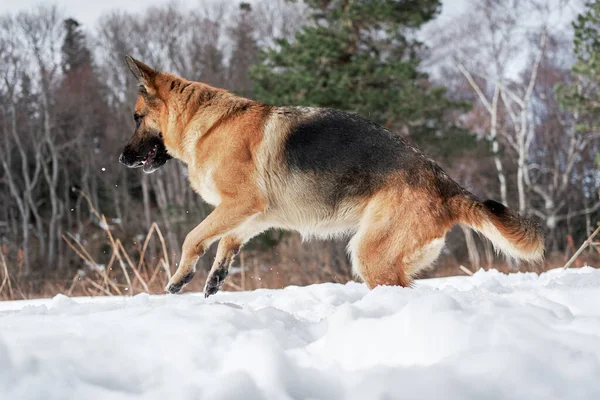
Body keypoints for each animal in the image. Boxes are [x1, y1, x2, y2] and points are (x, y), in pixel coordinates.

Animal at [120, 56, 544, 296]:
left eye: (137, 117)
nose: (122, 159)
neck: (205, 124)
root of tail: (446, 184)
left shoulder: (241, 204)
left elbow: (193, 237)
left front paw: (179, 278)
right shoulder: (256, 213)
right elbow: (227, 240)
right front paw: (215, 276)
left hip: (370, 254)